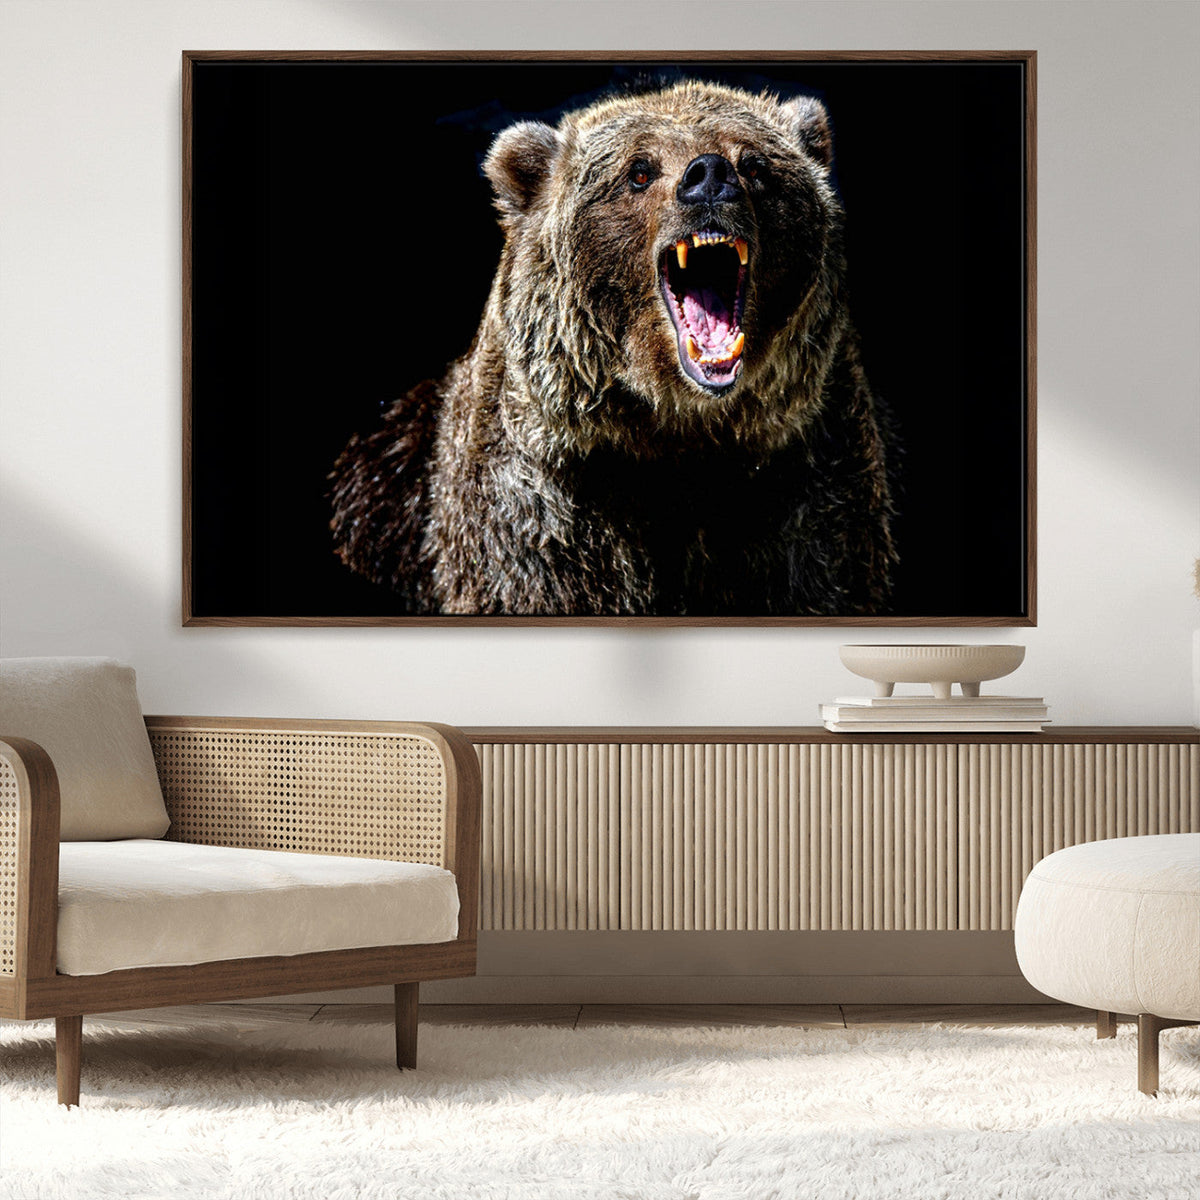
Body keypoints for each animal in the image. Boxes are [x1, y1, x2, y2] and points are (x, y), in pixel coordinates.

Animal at [330, 80, 898, 616]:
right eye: (639, 171)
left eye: (754, 164)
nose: (709, 176)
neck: (677, 435)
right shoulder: (544, 513)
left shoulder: (804, 490)